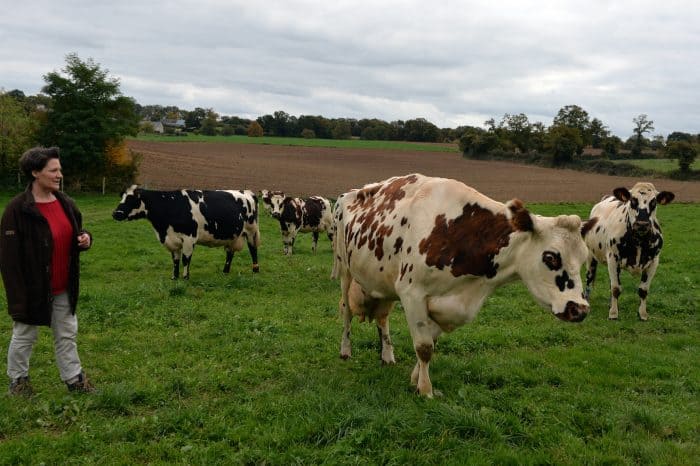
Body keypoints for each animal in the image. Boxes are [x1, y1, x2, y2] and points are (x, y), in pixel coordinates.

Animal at [113, 185, 262, 280]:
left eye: (132, 200)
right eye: (122, 198)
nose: (116, 213)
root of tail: (247, 192)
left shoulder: (189, 238)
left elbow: (186, 259)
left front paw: (185, 277)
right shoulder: (172, 239)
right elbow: (175, 260)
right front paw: (174, 277)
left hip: (251, 230)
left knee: (253, 250)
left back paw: (255, 270)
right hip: (233, 235)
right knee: (230, 253)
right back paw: (225, 272)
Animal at [330, 174, 592, 396]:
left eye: (583, 258)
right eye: (551, 257)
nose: (579, 309)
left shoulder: (446, 304)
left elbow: (431, 343)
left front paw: (415, 379)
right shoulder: (412, 293)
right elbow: (424, 346)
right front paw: (425, 390)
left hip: (381, 282)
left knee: (382, 318)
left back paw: (387, 355)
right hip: (344, 269)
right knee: (346, 313)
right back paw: (345, 351)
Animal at [584, 181, 676, 320]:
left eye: (654, 202)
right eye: (633, 200)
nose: (642, 224)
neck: (639, 240)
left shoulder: (654, 262)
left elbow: (643, 290)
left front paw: (642, 314)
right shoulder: (612, 258)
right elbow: (616, 288)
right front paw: (613, 314)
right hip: (591, 255)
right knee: (589, 278)